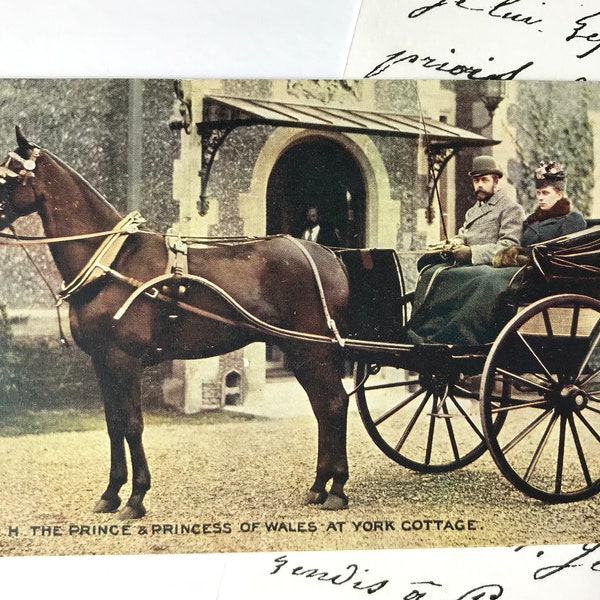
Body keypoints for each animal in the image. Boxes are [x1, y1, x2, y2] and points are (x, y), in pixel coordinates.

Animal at [0, 127, 352, 520]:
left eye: (8, 176)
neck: (112, 262)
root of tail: (330, 257)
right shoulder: (102, 361)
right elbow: (113, 424)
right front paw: (111, 493)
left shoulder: (124, 359)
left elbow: (132, 424)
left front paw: (136, 497)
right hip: (299, 350)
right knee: (323, 407)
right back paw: (319, 486)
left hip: (311, 350)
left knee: (334, 403)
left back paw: (337, 489)